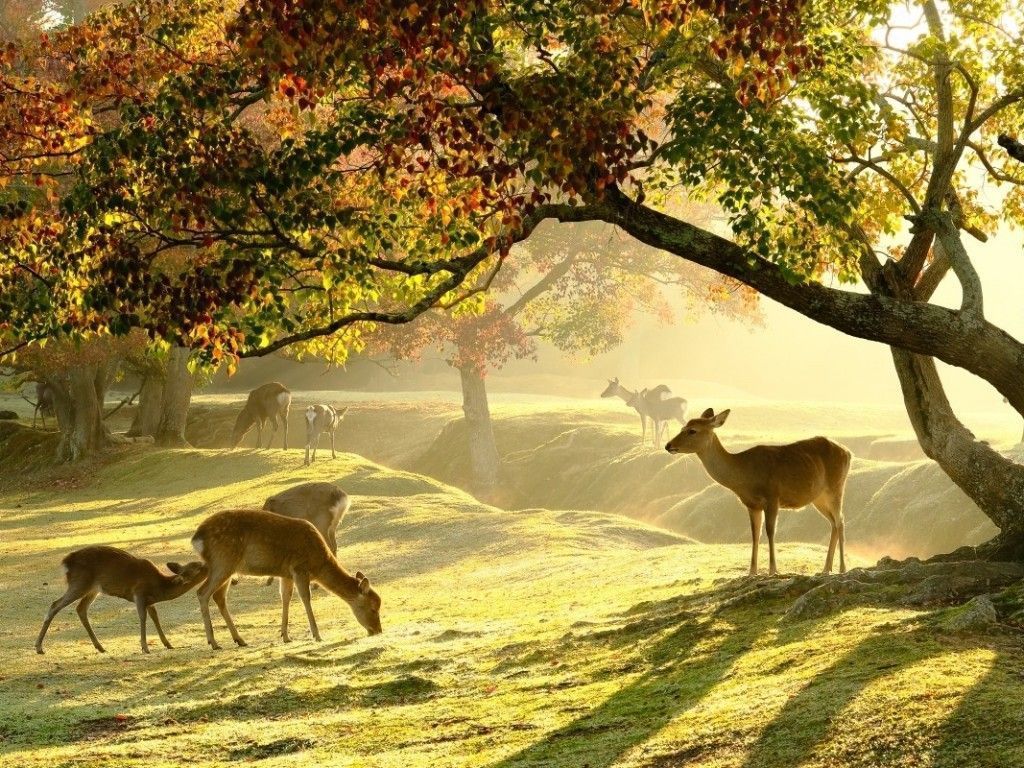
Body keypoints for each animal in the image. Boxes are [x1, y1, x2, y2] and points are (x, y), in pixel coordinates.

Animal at [35, 546, 208, 655]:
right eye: (198, 567)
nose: (207, 564)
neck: (159, 587)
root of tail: (66, 562)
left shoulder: (149, 601)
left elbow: (155, 617)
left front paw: (168, 644)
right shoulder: (139, 593)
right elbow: (143, 617)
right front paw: (145, 647)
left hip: (93, 589)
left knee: (81, 608)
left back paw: (100, 647)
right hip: (80, 583)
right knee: (55, 604)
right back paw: (39, 647)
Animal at [191, 509, 382, 648]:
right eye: (373, 608)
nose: (378, 630)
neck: (318, 564)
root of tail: (197, 539)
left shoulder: (286, 574)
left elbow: (286, 598)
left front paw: (285, 636)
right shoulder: (299, 568)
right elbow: (305, 598)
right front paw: (317, 635)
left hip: (228, 568)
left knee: (218, 597)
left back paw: (240, 639)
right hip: (222, 561)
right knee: (202, 593)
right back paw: (214, 642)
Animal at [665, 408, 851, 576]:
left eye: (692, 430)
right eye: (682, 427)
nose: (668, 445)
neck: (745, 475)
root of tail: (848, 452)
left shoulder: (773, 496)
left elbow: (770, 531)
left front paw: (773, 570)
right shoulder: (751, 504)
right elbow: (755, 534)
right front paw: (752, 572)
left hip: (836, 487)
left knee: (840, 521)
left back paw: (842, 568)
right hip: (818, 498)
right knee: (834, 522)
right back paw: (826, 569)